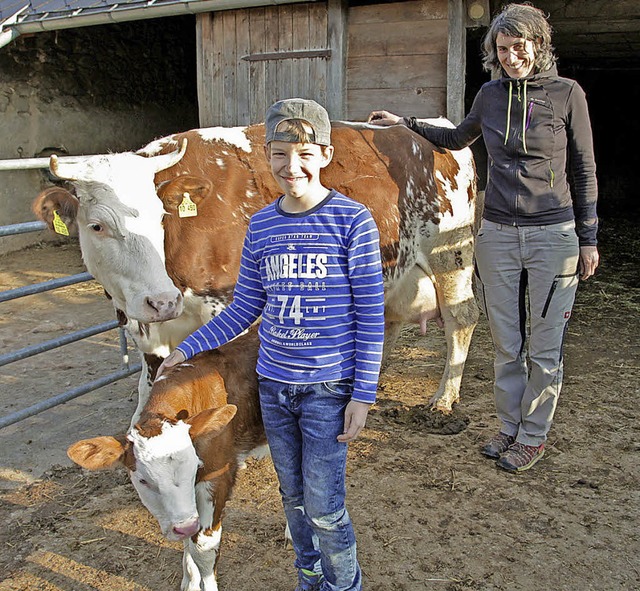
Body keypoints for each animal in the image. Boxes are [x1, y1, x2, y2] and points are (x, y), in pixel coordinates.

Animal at [32, 121, 478, 416]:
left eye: (160, 216)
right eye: (97, 226)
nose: (162, 301)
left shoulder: (227, 308)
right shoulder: (145, 330)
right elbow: (149, 388)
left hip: (451, 256)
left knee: (462, 318)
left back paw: (443, 399)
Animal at [69, 328, 268, 591]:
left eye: (195, 469)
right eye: (143, 481)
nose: (184, 526)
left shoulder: (216, 477)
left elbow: (204, 549)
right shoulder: (183, 509)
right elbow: (189, 544)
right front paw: (190, 581)